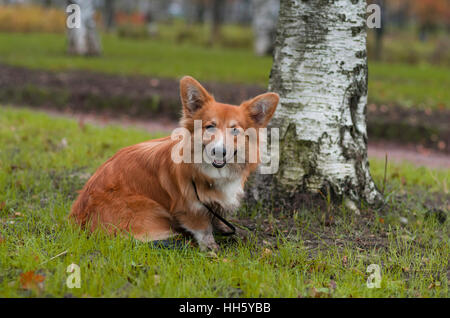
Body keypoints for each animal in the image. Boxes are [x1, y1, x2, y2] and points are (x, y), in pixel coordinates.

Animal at [70, 76, 278, 250]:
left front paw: (229, 230)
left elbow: (218, 217)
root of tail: (79, 218)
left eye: (235, 130)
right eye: (210, 127)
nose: (219, 151)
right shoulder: (190, 207)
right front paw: (212, 249)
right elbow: (203, 230)